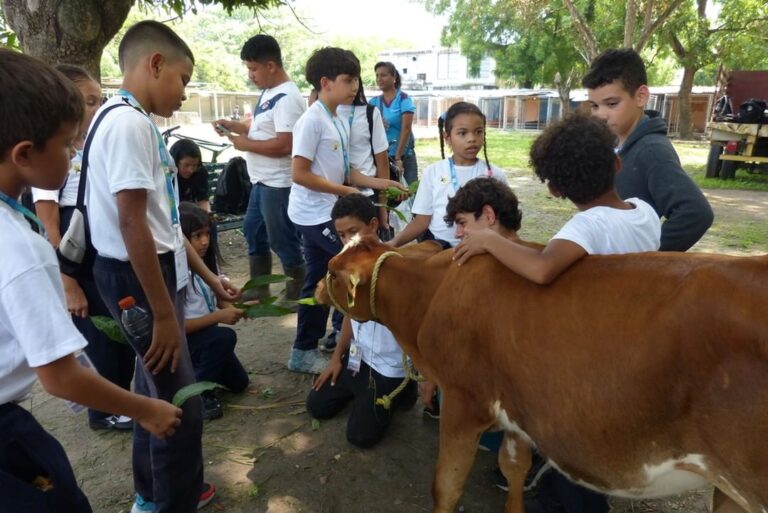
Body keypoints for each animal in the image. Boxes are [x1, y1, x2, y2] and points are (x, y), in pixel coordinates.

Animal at [316, 234, 768, 512]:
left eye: (332, 270)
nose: (317, 289)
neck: (431, 295)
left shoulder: (463, 400)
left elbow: (446, 485)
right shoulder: (516, 409)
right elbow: (513, 466)